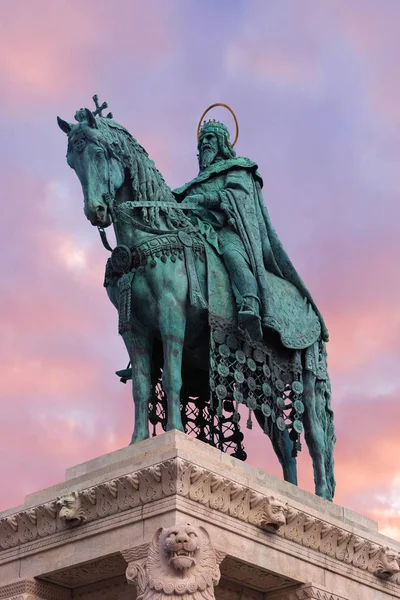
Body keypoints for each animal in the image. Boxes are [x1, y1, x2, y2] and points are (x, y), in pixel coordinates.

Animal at [57, 108, 336, 502]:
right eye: (72, 160)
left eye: (98, 152)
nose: (95, 210)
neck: (147, 237)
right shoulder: (134, 330)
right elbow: (141, 385)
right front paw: (138, 443)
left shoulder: (171, 315)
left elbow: (172, 376)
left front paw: (174, 429)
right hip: (258, 381)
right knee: (283, 440)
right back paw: (290, 491)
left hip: (307, 374)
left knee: (314, 434)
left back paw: (321, 496)